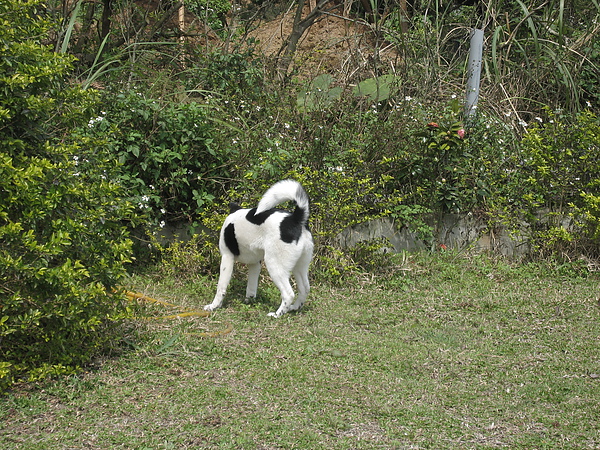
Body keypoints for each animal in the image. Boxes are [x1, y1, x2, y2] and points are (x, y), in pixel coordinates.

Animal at [204, 179, 314, 316]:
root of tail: (296, 219)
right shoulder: (255, 263)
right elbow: (251, 288)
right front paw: (248, 302)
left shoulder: (227, 257)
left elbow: (221, 287)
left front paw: (214, 306)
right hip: (299, 266)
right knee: (305, 288)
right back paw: (294, 307)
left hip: (275, 265)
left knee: (288, 294)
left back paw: (277, 314)